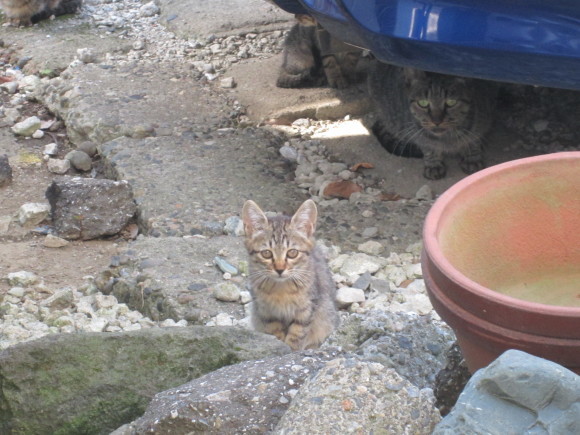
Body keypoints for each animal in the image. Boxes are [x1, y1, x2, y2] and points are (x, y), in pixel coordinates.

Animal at [241, 200, 340, 350]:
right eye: (266, 253)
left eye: (292, 253)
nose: (280, 269)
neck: (281, 290)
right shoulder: (266, 311)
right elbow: (275, 332)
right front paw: (279, 346)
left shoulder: (307, 309)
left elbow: (297, 335)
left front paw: (291, 349)